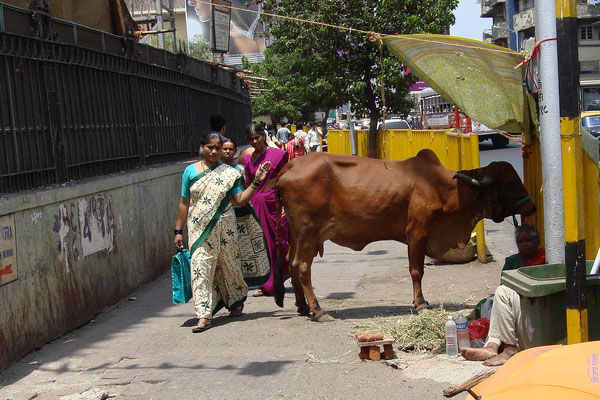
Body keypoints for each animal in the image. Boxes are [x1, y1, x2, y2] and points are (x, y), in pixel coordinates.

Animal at [276, 148, 536, 320]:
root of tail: (291, 166)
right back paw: (318, 310)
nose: (532, 206)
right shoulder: (417, 232)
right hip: (308, 232)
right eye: (511, 182)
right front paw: (421, 303)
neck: (441, 187)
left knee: (289, 261)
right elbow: (416, 271)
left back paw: (302, 306)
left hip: (297, 234)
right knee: (301, 266)